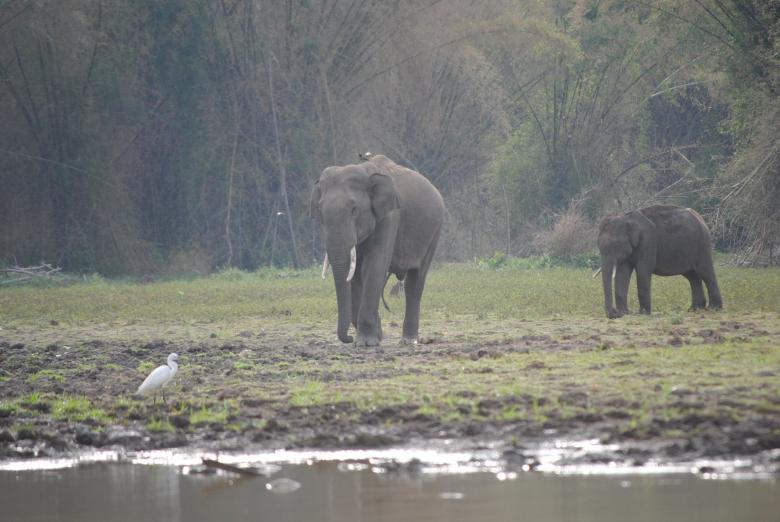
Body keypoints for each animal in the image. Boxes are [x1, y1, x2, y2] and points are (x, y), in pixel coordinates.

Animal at [310, 154, 445, 346]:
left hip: (434, 231)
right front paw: (375, 337)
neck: (364, 171)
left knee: (415, 282)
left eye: (354, 210)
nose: (349, 338)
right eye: (320, 211)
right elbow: (355, 273)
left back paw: (408, 340)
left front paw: (367, 343)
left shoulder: (390, 216)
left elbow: (374, 264)